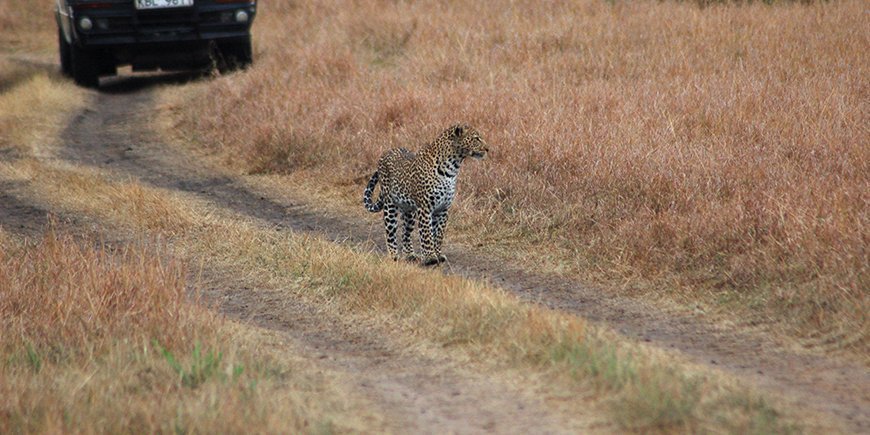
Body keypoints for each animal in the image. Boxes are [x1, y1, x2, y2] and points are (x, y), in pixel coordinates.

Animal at [363, 123, 489, 266]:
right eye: (476, 138)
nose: (487, 149)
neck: (452, 168)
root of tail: (386, 152)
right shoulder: (425, 207)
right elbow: (427, 233)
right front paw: (430, 257)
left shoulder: (443, 209)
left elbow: (438, 234)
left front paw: (438, 254)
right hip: (390, 206)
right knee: (390, 232)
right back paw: (394, 255)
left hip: (409, 211)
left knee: (405, 233)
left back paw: (410, 255)